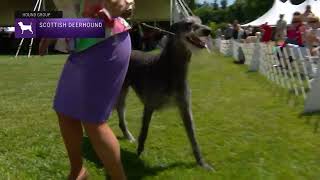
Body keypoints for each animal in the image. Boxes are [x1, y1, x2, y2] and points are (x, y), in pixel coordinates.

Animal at [116, 16, 214, 170]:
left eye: (200, 21)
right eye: (189, 24)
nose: (208, 30)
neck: (168, 68)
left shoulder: (185, 107)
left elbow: (193, 136)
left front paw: (202, 163)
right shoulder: (149, 106)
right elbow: (144, 131)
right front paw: (139, 153)